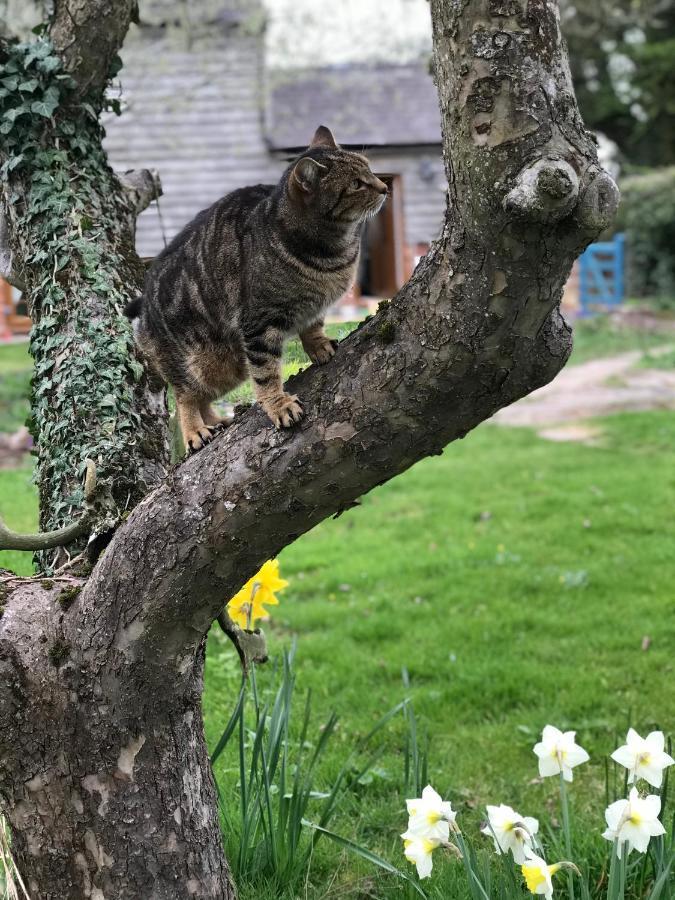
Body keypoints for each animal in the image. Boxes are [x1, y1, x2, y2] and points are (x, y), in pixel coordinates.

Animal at [126, 125, 388, 450]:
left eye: (369, 169)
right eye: (356, 183)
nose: (385, 187)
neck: (333, 252)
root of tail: (143, 305)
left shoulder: (313, 307)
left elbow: (313, 326)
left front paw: (319, 345)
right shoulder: (259, 324)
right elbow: (266, 374)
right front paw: (279, 405)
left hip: (226, 367)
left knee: (203, 398)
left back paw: (217, 422)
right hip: (195, 363)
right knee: (185, 397)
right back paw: (195, 431)